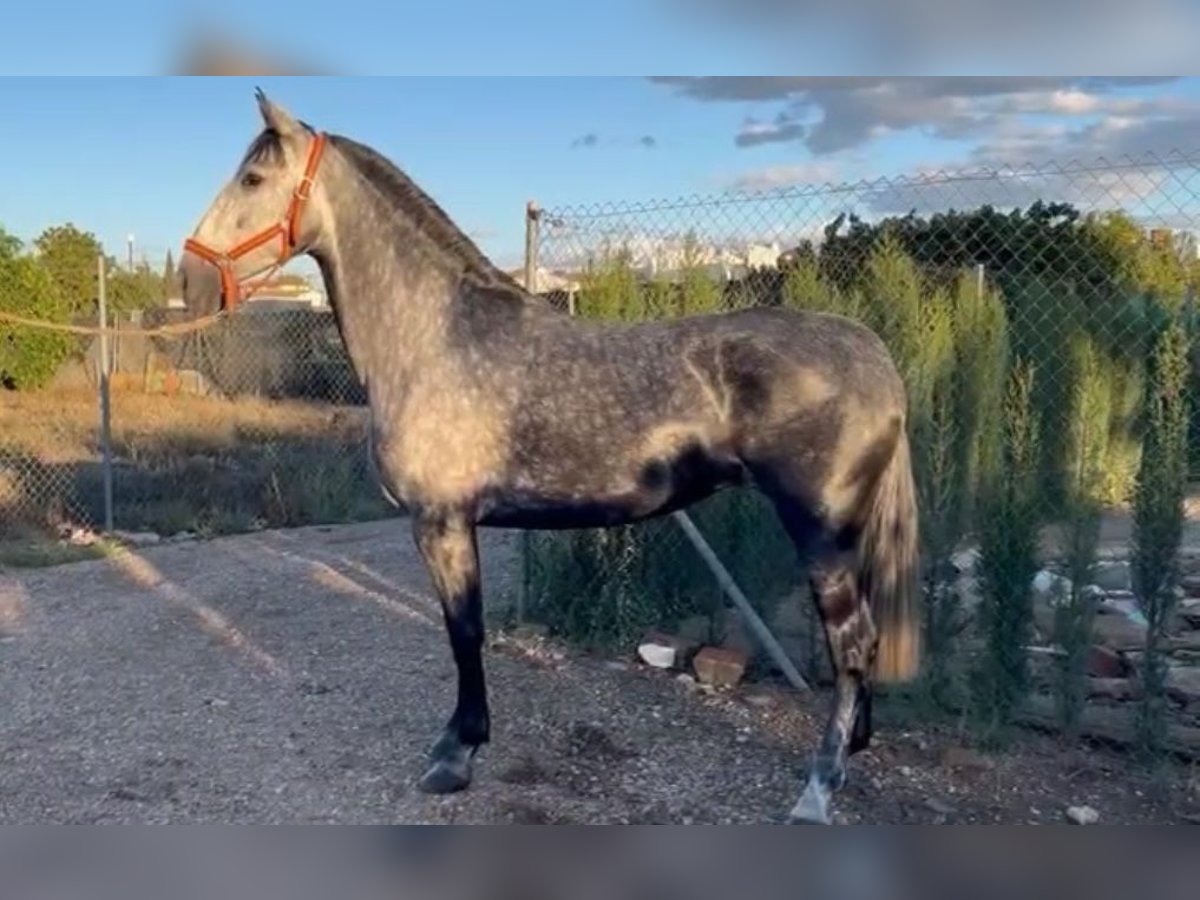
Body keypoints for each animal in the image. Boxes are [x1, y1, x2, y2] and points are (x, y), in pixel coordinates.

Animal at [177, 90, 921, 825]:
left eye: (253, 178)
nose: (190, 280)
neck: (436, 340)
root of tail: (871, 352)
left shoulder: (442, 524)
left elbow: (465, 633)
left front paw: (455, 756)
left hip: (820, 532)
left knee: (853, 644)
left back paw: (817, 792)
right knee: (859, 646)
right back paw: (852, 751)